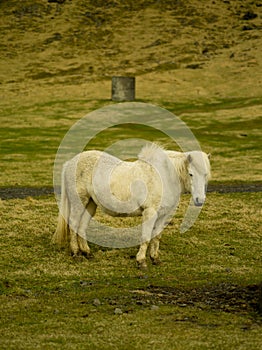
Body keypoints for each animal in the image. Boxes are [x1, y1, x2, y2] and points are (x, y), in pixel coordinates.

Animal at [53, 144, 211, 270]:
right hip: (79, 201)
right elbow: (146, 237)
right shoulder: (150, 213)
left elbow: (156, 237)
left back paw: (87, 253)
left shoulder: (164, 215)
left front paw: (155, 259)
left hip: (91, 204)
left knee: (82, 226)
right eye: (191, 174)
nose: (200, 200)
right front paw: (141, 262)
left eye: (206, 175)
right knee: (73, 224)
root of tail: (70, 163)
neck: (163, 177)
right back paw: (76, 253)